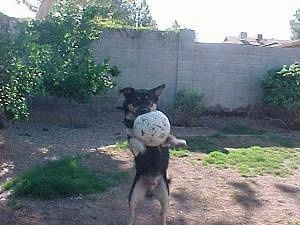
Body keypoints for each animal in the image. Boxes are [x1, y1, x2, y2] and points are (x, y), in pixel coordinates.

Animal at [119, 84, 185, 225]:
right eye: (136, 101)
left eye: (150, 102)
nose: (144, 110)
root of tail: (151, 186)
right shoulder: (130, 139)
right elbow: (134, 141)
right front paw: (141, 146)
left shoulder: (163, 143)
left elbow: (170, 137)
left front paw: (180, 143)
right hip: (133, 197)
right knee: (132, 214)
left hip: (165, 197)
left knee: (162, 214)